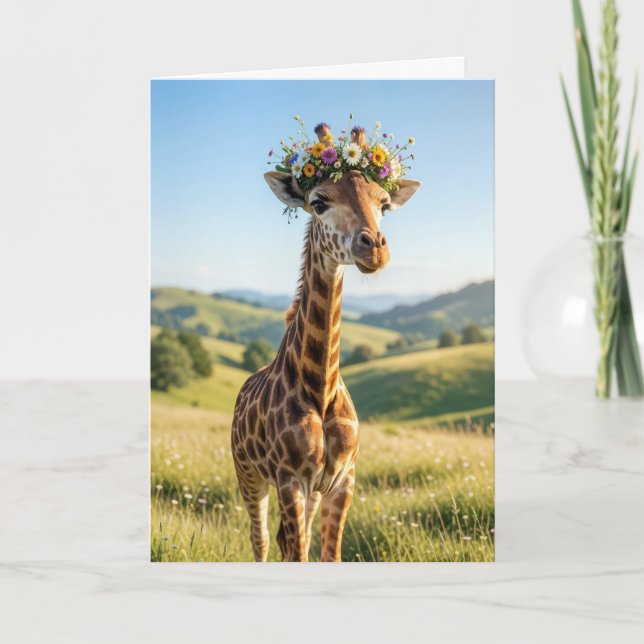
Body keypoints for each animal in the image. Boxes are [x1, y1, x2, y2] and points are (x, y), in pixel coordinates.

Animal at [231, 125, 420, 562]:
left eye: (385, 205)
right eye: (318, 202)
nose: (375, 248)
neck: (321, 387)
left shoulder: (341, 480)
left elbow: (327, 554)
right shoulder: (289, 480)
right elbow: (296, 551)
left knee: (282, 539)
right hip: (248, 474)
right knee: (260, 538)